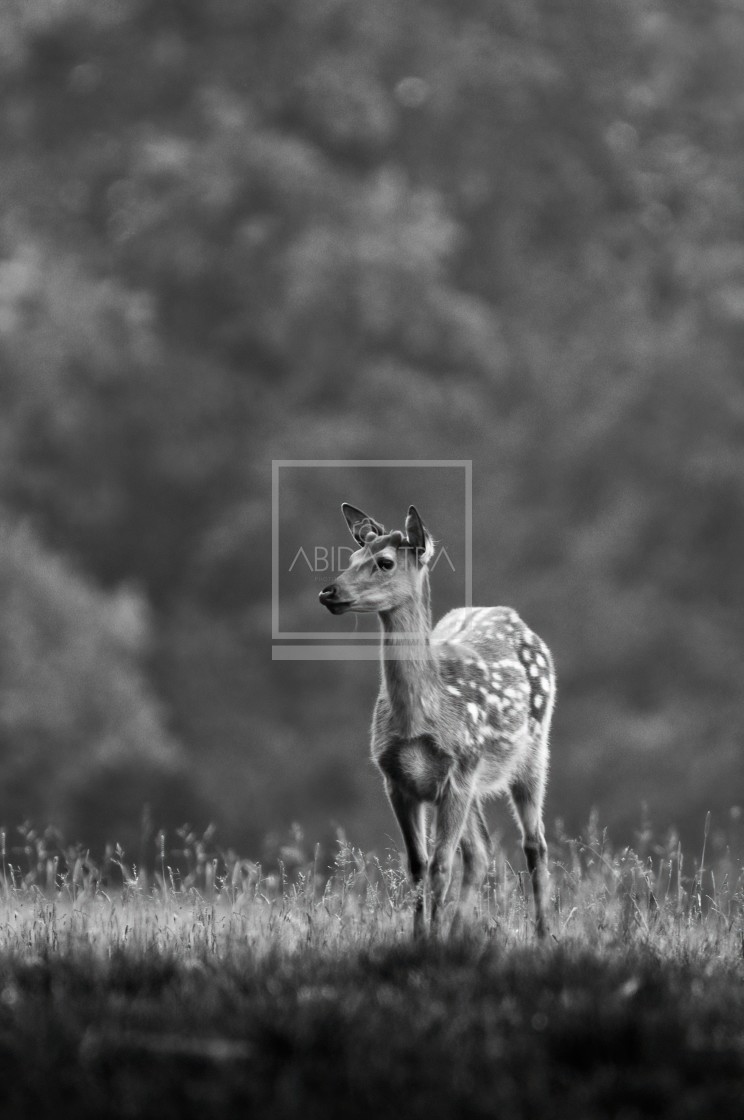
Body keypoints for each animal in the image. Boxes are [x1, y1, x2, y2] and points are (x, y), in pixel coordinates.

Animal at [315, 506, 555, 936]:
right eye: (352, 558)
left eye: (385, 562)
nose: (329, 592)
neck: (422, 718)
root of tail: (512, 616)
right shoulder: (396, 780)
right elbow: (417, 866)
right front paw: (420, 938)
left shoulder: (457, 771)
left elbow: (441, 866)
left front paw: (431, 939)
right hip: (475, 779)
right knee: (479, 852)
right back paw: (459, 933)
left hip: (531, 752)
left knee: (534, 843)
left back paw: (545, 936)